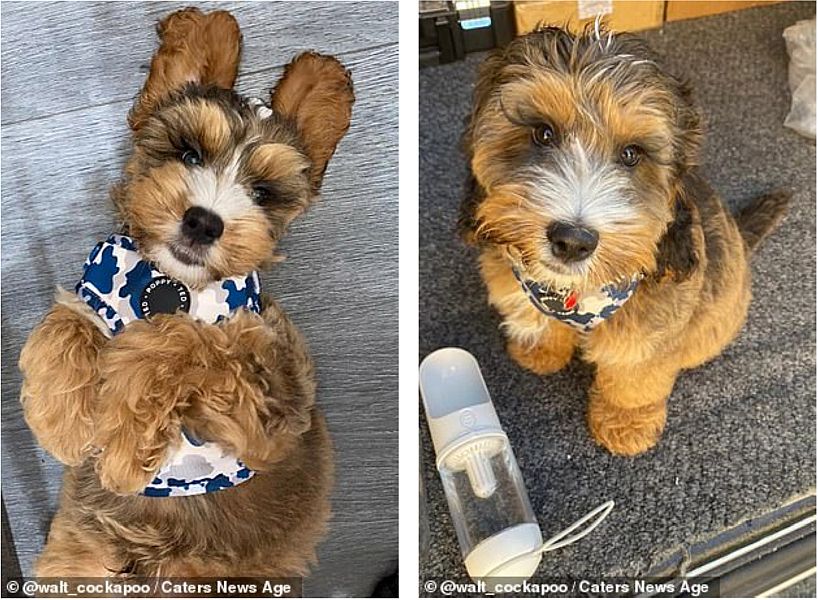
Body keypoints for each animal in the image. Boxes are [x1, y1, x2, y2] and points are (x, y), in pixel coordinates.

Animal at [19, 8, 350, 576]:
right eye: (189, 153)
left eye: (262, 193)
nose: (203, 221)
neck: (174, 283)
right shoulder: (99, 288)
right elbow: (66, 320)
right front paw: (61, 420)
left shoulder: (272, 415)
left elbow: (190, 341)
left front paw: (124, 443)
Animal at [460, 22, 784, 454]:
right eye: (542, 133)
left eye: (632, 154)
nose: (573, 241)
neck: (574, 295)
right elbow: (538, 320)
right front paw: (542, 349)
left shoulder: (650, 336)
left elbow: (634, 378)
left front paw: (626, 422)